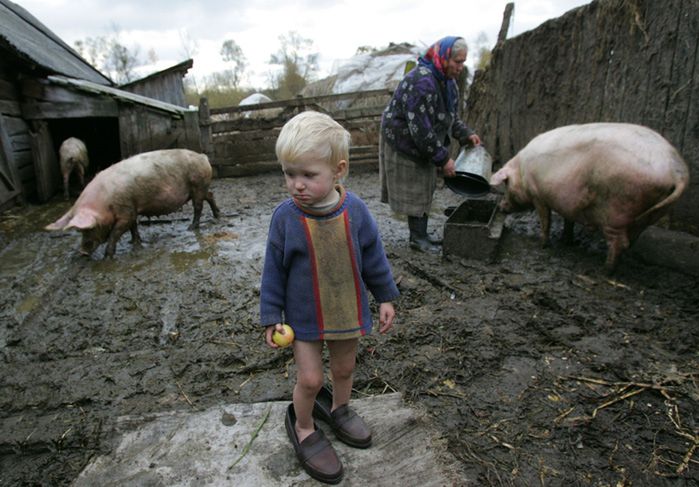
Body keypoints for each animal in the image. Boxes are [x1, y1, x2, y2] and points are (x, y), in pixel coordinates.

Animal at [46, 148, 220, 260]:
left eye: (89, 228)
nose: (82, 252)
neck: (105, 201)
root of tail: (203, 157)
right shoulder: (131, 208)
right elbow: (133, 226)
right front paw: (134, 243)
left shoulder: (125, 210)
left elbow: (116, 232)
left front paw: (107, 257)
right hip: (200, 187)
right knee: (210, 196)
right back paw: (217, 216)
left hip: (197, 185)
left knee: (198, 207)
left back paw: (191, 227)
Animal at [490, 124, 692, 272]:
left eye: (506, 185)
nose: (501, 207)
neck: (522, 171)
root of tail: (677, 171)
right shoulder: (568, 202)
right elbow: (568, 220)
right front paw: (567, 242)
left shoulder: (538, 195)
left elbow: (546, 220)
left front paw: (543, 245)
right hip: (648, 215)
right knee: (631, 240)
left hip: (618, 208)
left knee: (620, 241)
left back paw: (606, 270)